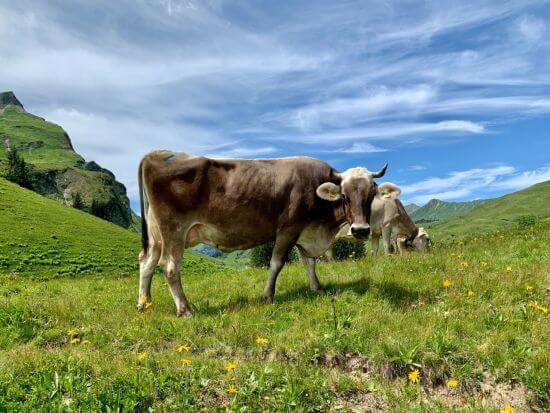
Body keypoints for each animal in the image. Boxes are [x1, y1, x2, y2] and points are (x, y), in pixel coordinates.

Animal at [137, 151, 388, 316]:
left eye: (371, 195)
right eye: (344, 196)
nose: (361, 230)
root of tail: (158, 153)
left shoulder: (305, 231)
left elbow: (309, 261)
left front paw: (316, 287)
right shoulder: (289, 228)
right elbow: (276, 263)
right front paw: (267, 296)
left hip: (156, 233)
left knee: (146, 262)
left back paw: (144, 303)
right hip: (174, 230)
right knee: (169, 266)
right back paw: (185, 309)